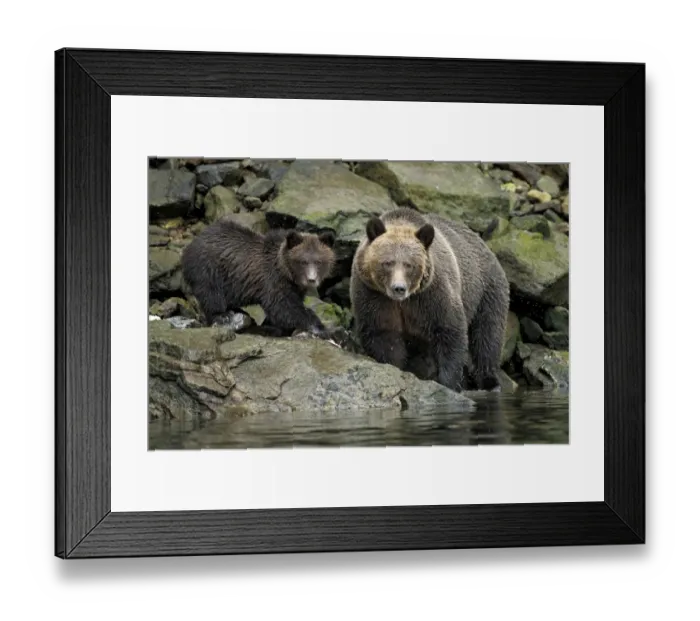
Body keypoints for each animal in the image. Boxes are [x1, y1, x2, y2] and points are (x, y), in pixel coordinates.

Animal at [181, 217, 336, 334]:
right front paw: (317, 325)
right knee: (211, 294)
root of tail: (193, 242)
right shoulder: (272, 280)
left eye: (319, 261)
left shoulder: (295, 287)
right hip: (208, 268)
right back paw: (223, 315)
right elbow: (284, 307)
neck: (286, 271)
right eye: (303, 261)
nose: (311, 279)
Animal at [350, 207, 510, 392]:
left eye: (409, 265)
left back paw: (489, 381)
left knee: (487, 333)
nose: (399, 288)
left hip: (487, 290)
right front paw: (396, 366)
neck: (403, 302)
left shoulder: (432, 296)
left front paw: (449, 382)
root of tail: (483, 243)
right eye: (387, 262)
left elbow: (450, 332)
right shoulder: (374, 296)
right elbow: (382, 336)